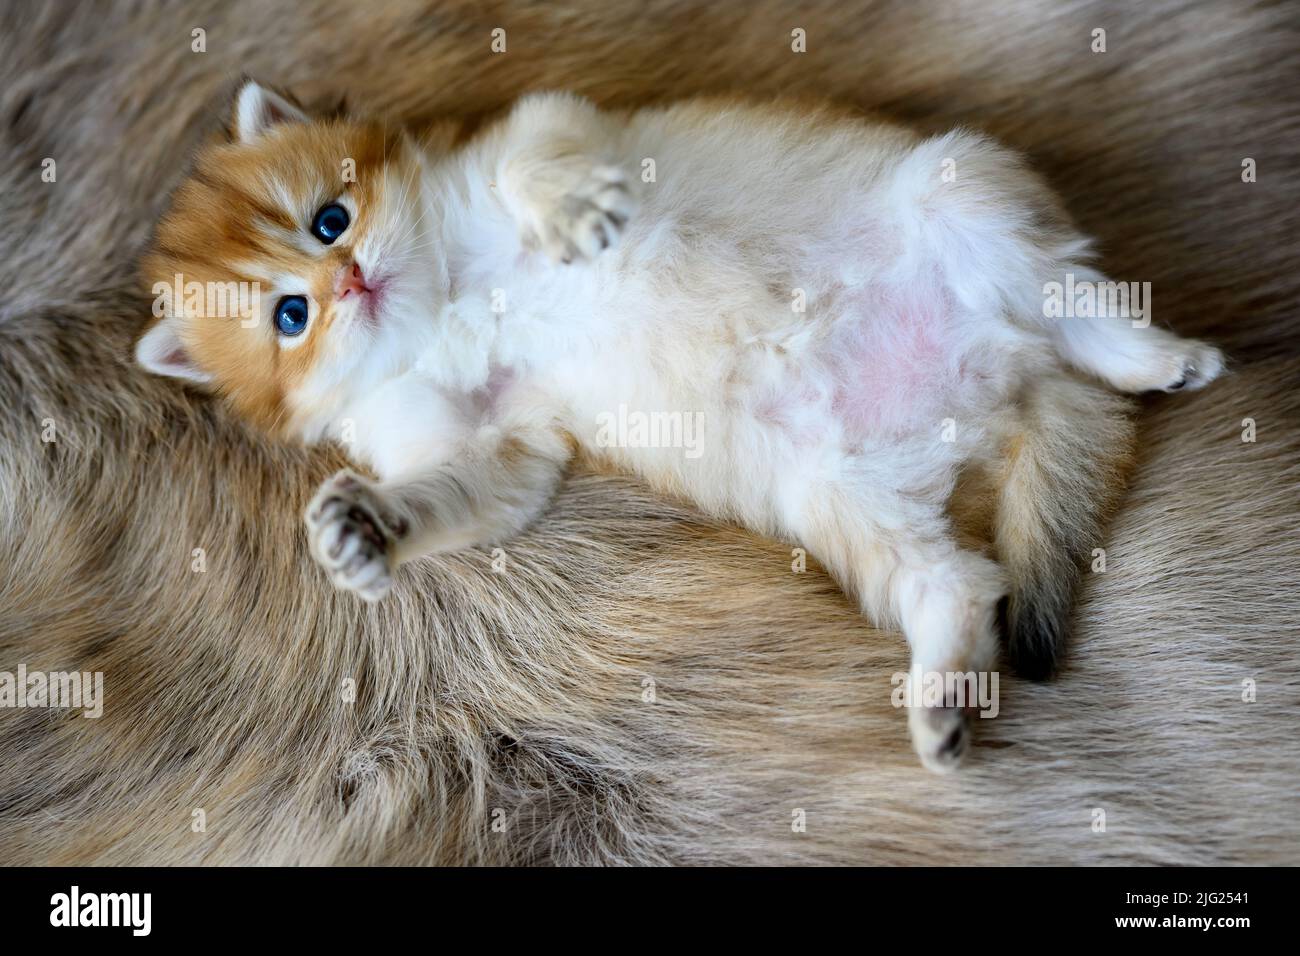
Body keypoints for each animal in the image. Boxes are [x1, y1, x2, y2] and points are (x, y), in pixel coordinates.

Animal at [137, 82, 1222, 770]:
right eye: (290, 317)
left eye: (330, 219)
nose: (350, 280)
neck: (447, 296)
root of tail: (1002, 376)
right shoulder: (498, 443)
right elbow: (464, 488)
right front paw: (366, 529)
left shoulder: (537, 127)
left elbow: (535, 163)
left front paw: (573, 215)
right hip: (839, 493)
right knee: (956, 580)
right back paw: (942, 700)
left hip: (956, 188)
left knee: (1071, 297)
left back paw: (1160, 355)